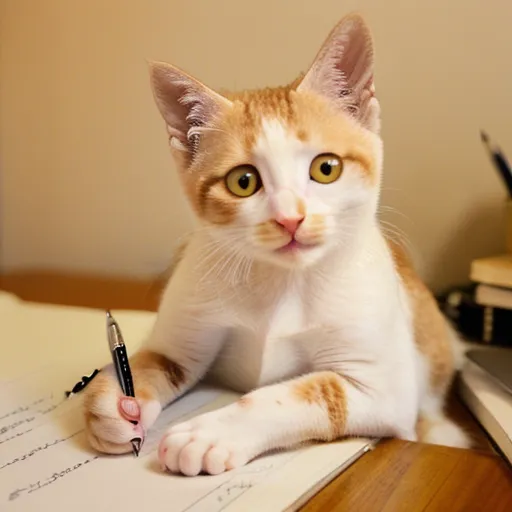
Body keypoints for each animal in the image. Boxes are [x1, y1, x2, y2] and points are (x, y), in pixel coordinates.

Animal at [82, 13, 470, 476]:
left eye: (326, 168)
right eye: (243, 181)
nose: (290, 218)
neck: (282, 280)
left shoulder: (386, 390)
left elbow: (312, 392)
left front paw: (210, 434)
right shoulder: (183, 327)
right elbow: (152, 360)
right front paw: (114, 405)